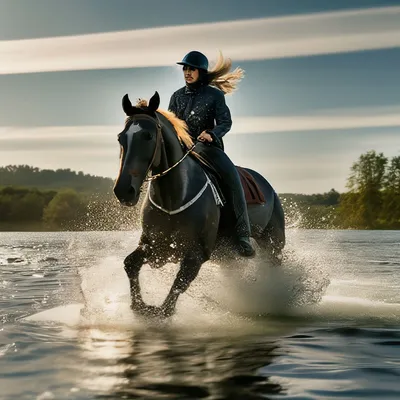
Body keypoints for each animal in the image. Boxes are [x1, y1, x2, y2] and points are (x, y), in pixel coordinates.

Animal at [114, 91, 286, 318]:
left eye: (148, 136)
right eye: (120, 137)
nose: (124, 190)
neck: (175, 197)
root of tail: (269, 187)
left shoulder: (196, 255)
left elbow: (177, 288)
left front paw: (158, 310)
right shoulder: (153, 245)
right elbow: (130, 264)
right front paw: (139, 305)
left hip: (273, 244)